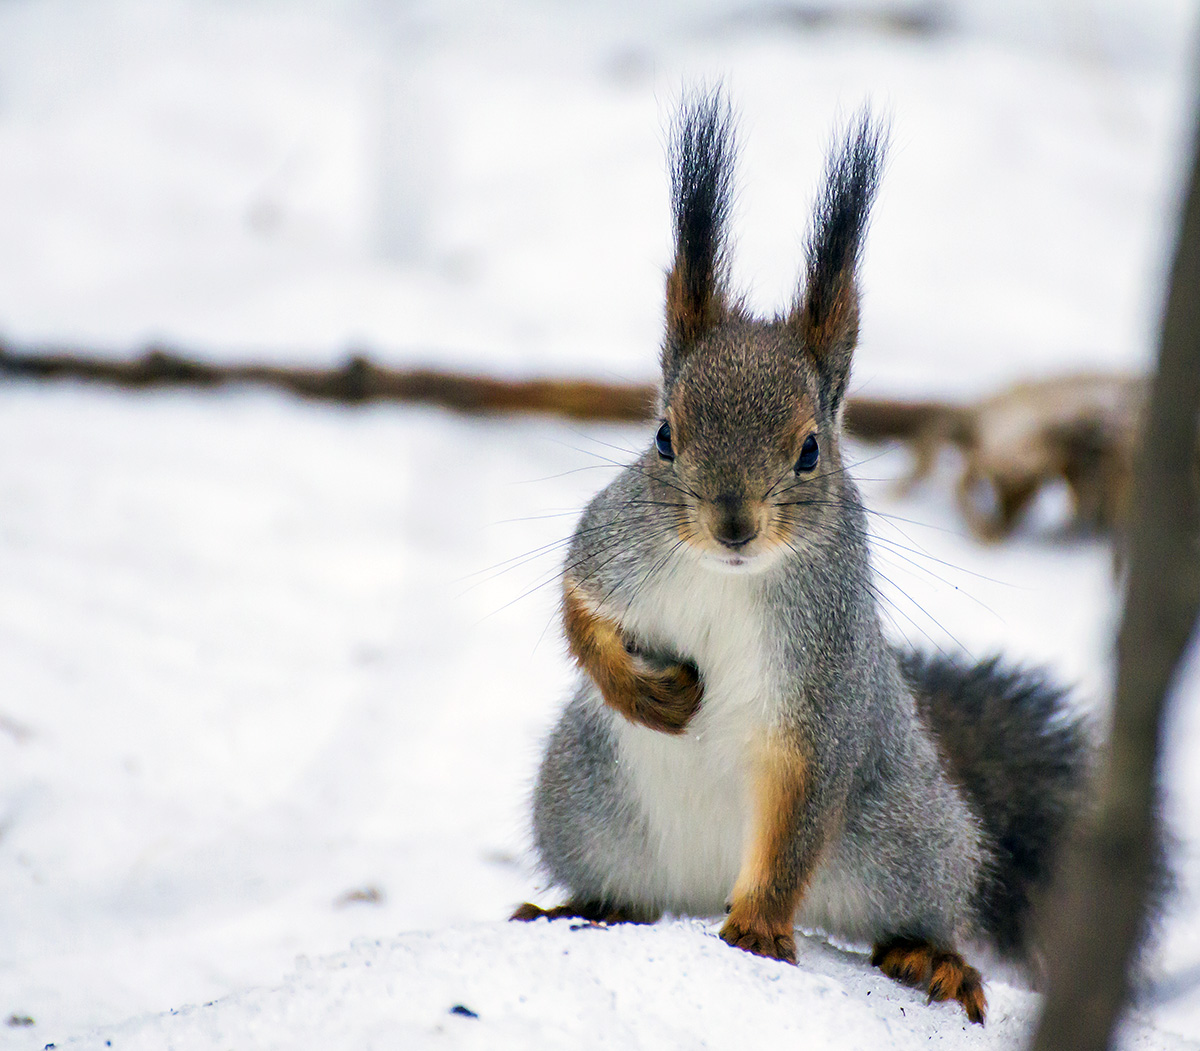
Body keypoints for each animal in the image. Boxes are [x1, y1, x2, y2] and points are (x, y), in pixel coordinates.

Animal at [511, 90, 1094, 1027]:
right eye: (664, 437)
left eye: (811, 449)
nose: (732, 524)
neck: (727, 580)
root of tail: (694, 890)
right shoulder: (612, 543)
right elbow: (579, 608)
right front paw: (643, 692)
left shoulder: (824, 692)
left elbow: (795, 821)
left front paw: (757, 928)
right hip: (581, 800)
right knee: (620, 888)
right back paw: (583, 906)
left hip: (909, 837)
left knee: (916, 903)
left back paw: (930, 957)